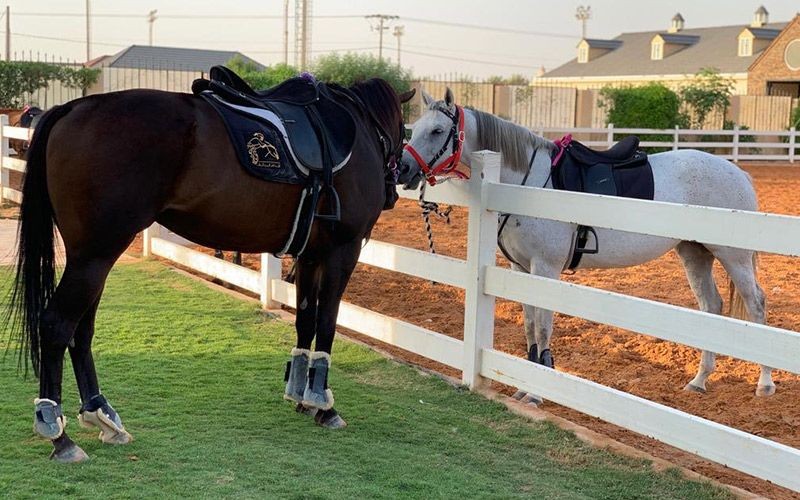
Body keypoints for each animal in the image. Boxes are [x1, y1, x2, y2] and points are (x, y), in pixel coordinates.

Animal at [6, 81, 416, 460]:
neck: (357, 128)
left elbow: (305, 322)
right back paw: (58, 434)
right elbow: (328, 323)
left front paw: (301, 395)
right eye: (402, 130)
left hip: (91, 256)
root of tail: (72, 108)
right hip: (94, 255)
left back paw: (100, 413)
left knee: (81, 330)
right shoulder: (341, 252)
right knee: (57, 325)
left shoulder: (310, 255)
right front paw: (323, 404)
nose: (404, 176)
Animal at [400, 90, 776, 400]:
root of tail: (739, 173)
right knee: (712, 307)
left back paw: (765, 383)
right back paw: (699, 380)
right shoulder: (521, 268)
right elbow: (529, 325)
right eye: (415, 128)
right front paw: (527, 381)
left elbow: (543, 325)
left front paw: (537, 390)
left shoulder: (546, 269)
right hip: (694, 253)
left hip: (734, 257)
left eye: (437, 131)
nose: (402, 168)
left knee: (756, 304)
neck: (528, 185)